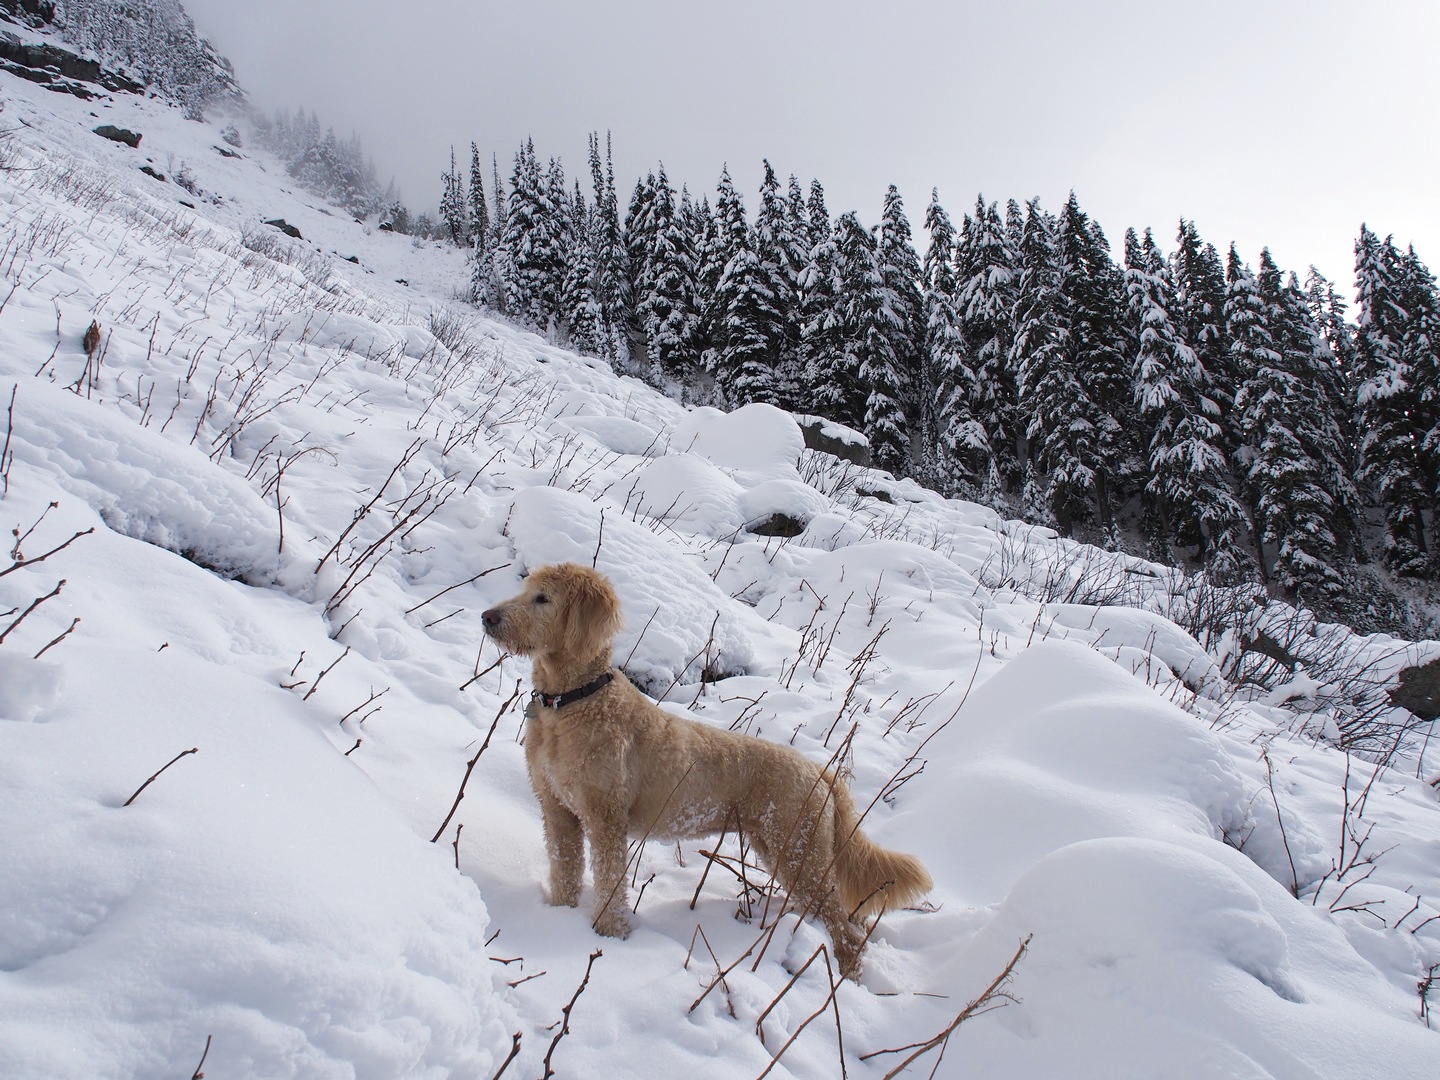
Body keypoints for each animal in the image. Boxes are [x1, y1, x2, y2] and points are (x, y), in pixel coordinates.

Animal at [481, 562, 931, 978]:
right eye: (526, 589)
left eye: (543, 598)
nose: (488, 617)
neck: (573, 701)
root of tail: (823, 774)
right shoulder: (558, 811)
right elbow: (566, 870)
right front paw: (559, 917)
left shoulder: (605, 818)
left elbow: (610, 884)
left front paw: (609, 936)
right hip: (780, 849)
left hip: (800, 855)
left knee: (848, 930)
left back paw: (847, 978)